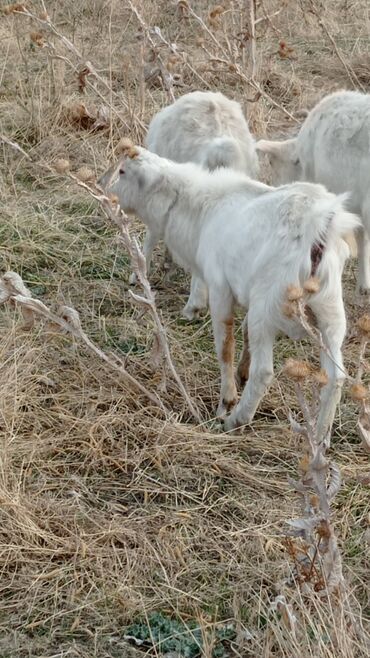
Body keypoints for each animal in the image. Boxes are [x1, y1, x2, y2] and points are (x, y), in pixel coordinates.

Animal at [99, 141, 358, 434]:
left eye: (122, 171)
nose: (103, 188)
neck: (199, 210)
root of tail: (319, 231)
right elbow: (242, 335)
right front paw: (240, 374)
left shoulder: (220, 288)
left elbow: (225, 346)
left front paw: (227, 400)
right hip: (329, 309)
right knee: (336, 376)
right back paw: (321, 436)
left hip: (268, 305)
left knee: (264, 372)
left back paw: (237, 419)